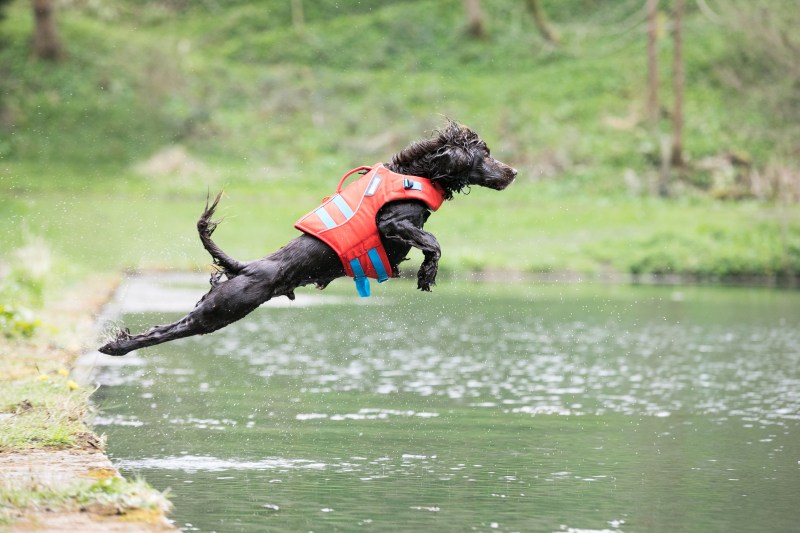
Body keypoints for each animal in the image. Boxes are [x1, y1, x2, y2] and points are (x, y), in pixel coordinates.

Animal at [100, 120, 516, 354]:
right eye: (485, 155)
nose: (513, 172)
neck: (420, 173)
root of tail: (243, 268)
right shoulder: (392, 223)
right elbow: (432, 241)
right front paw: (427, 274)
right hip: (223, 309)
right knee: (172, 328)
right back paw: (116, 346)